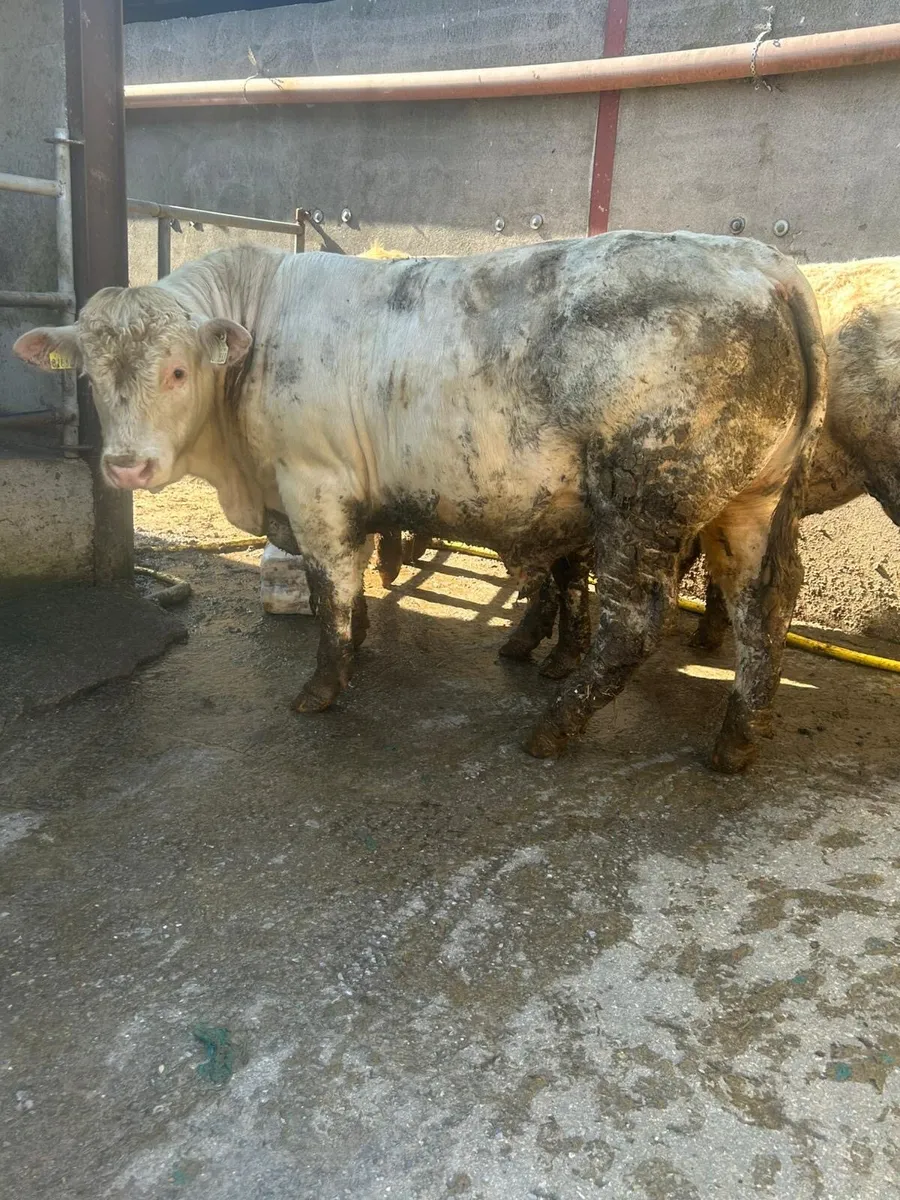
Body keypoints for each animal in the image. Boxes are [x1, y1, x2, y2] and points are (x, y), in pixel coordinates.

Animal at [15, 231, 825, 771]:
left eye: (178, 371)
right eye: (90, 373)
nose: (125, 466)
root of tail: (769, 268)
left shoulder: (313, 483)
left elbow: (331, 588)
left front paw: (325, 684)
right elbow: (352, 585)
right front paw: (362, 645)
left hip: (640, 506)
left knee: (631, 627)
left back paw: (555, 726)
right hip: (748, 503)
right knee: (765, 606)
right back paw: (737, 738)